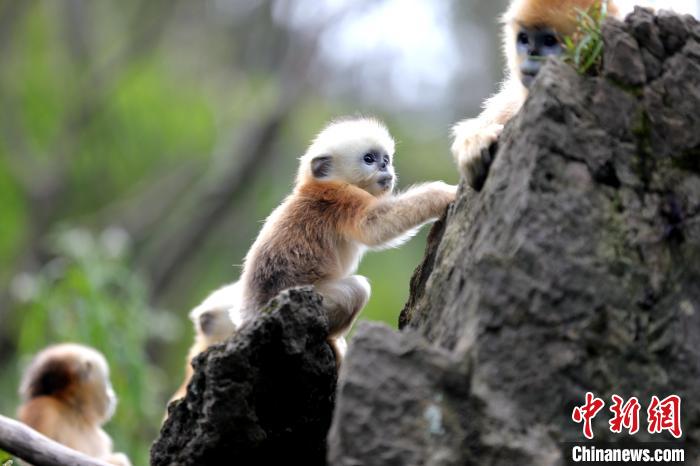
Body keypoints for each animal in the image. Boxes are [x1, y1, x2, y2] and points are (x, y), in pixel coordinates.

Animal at [239, 117, 460, 364]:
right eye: (369, 159)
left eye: (385, 159)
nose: (385, 167)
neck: (320, 186)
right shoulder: (342, 198)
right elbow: (374, 225)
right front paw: (445, 193)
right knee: (357, 289)